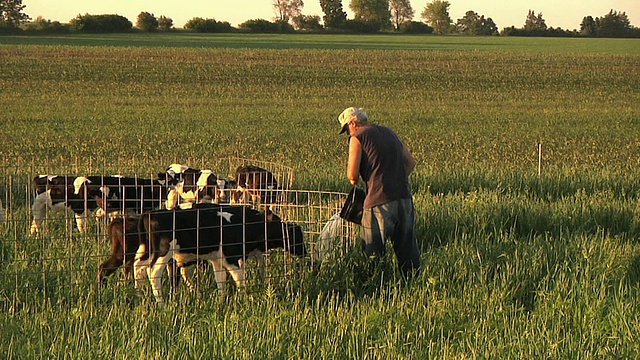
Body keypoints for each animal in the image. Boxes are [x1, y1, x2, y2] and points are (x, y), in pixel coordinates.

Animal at [134, 204, 306, 302]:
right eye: (298, 237)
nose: (305, 253)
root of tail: (150, 214)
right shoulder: (232, 258)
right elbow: (240, 279)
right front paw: (244, 299)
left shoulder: (218, 260)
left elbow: (221, 280)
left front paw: (221, 301)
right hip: (163, 251)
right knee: (153, 272)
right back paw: (161, 303)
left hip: (147, 249)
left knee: (138, 267)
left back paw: (140, 295)